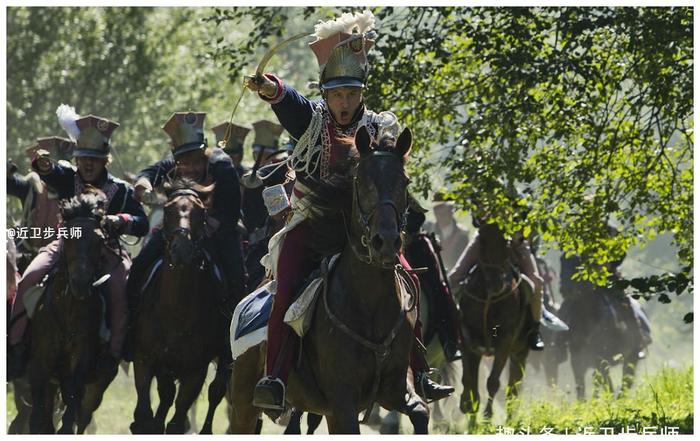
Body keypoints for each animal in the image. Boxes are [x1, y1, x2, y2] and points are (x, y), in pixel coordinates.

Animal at [26, 192, 117, 434]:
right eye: (67, 238)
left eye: (99, 240)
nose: (81, 283)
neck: (68, 308)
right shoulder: (40, 363)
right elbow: (38, 415)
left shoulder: (81, 360)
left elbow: (72, 402)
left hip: (97, 386)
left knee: (83, 414)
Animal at [129, 177, 230, 432]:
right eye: (168, 210)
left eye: (201, 212)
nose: (181, 249)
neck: (175, 313)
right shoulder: (145, 358)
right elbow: (144, 413)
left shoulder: (195, 370)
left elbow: (176, 419)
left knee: (216, 391)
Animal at [454, 225, 532, 422]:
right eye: (482, 240)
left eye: (505, 241)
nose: (497, 284)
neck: (488, 299)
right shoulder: (468, 341)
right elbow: (469, 382)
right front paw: (468, 407)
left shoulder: (505, 341)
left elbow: (493, 382)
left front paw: (487, 415)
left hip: (520, 352)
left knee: (513, 387)